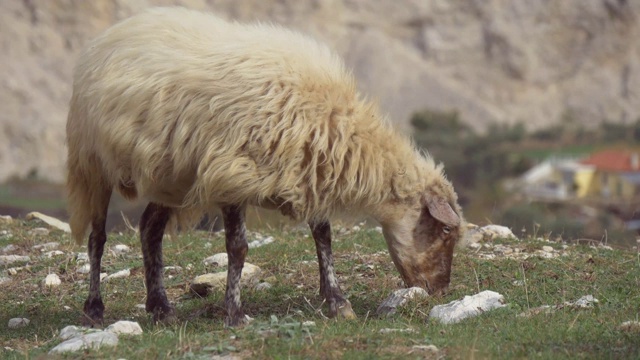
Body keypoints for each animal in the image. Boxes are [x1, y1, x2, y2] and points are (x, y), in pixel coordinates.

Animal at [66, 7, 464, 328]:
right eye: (445, 231)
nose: (440, 290)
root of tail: (113, 33)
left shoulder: (309, 170)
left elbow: (323, 236)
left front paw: (336, 300)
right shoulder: (232, 175)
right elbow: (238, 248)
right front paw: (234, 312)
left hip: (171, 177)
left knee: (149, 229)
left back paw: (160, 307)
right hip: (92, 163)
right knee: (97, 238)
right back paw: (94, 308)